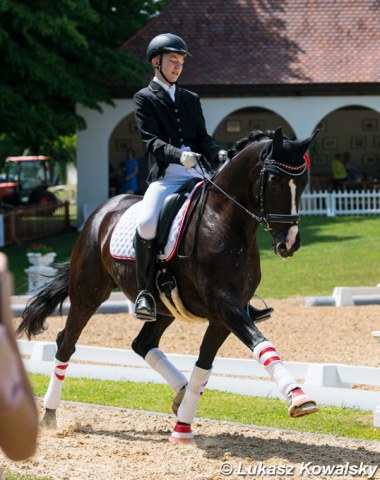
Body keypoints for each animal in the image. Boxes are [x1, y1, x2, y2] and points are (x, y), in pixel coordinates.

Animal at [19, 126, 320, 442]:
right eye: (274, 182)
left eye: (303, 183)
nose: (289, 244)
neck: (223, 220)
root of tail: (102, 213)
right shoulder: (224, 304)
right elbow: (260, 343)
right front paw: (299, 398)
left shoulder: (224, 315)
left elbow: (204, 365)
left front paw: (183, 427)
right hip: (88, 293)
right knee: (66, 342)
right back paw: (49, 416)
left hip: (164, 307)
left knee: (142, 343)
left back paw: (182, 394)